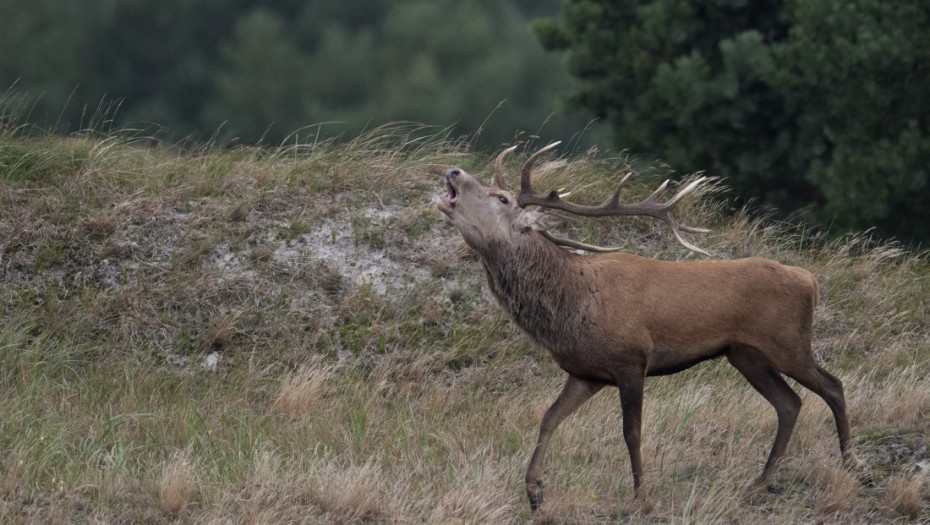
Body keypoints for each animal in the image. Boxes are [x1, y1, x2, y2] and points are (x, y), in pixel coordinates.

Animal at [436, 141, 864, 510]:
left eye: (502, 198)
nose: (453, 170)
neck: (573, 304)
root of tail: (810, 280)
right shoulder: (585, 373)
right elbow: (548, 419)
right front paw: (534, 491)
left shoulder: (632, 359)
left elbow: (631, 432)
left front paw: (642, 497)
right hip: (745, 354)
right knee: (789, 402)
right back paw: (759, 483)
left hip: (788, 342)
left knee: (833, 386)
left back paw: (850, 464)